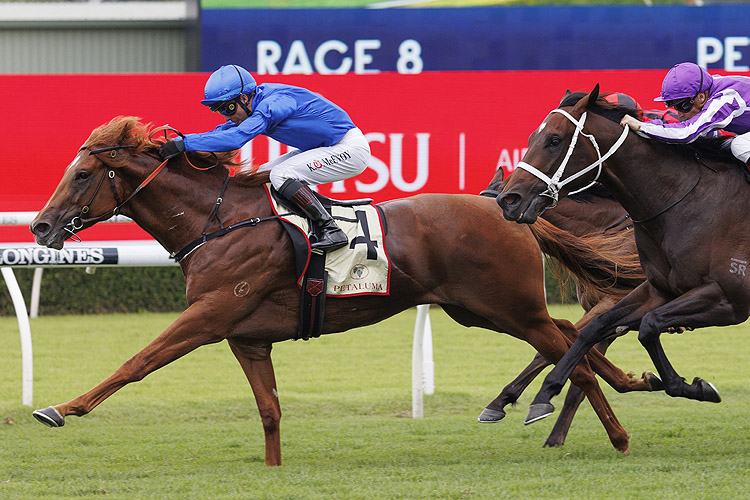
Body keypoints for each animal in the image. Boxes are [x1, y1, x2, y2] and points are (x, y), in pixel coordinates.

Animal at [29, 115, 656, 462]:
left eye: (81, 175)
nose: (39, 226)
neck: (218, 220)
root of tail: (502, 204)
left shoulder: (208, 314)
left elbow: (137, 361)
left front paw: (61, 408)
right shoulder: (246, 337)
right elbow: (270, 411)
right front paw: (273, 470)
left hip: (509, 307)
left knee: (572, 352)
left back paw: (619, 434)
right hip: (476, 308)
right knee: (574, 330)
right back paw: (631, 383)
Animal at [496, 87, 736, 426]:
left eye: (554, 140)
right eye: (530, 138)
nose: (509, 200)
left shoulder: (619, 298)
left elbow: (560, 349)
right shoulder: (634, 299)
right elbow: (581, 340)